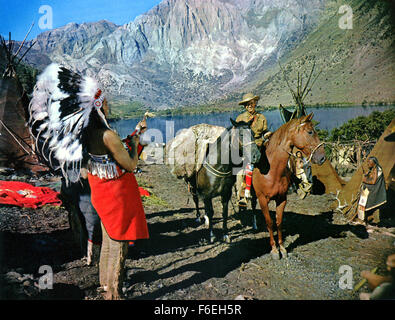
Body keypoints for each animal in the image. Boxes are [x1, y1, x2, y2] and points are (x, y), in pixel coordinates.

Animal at [254, 112, 324, 260]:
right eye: (310, 132)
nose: (322, 158)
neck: (271, 170)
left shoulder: (282, 199)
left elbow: (279, 222)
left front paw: (282, 248)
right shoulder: (262, 199)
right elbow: (269, 223)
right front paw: (274, 250)